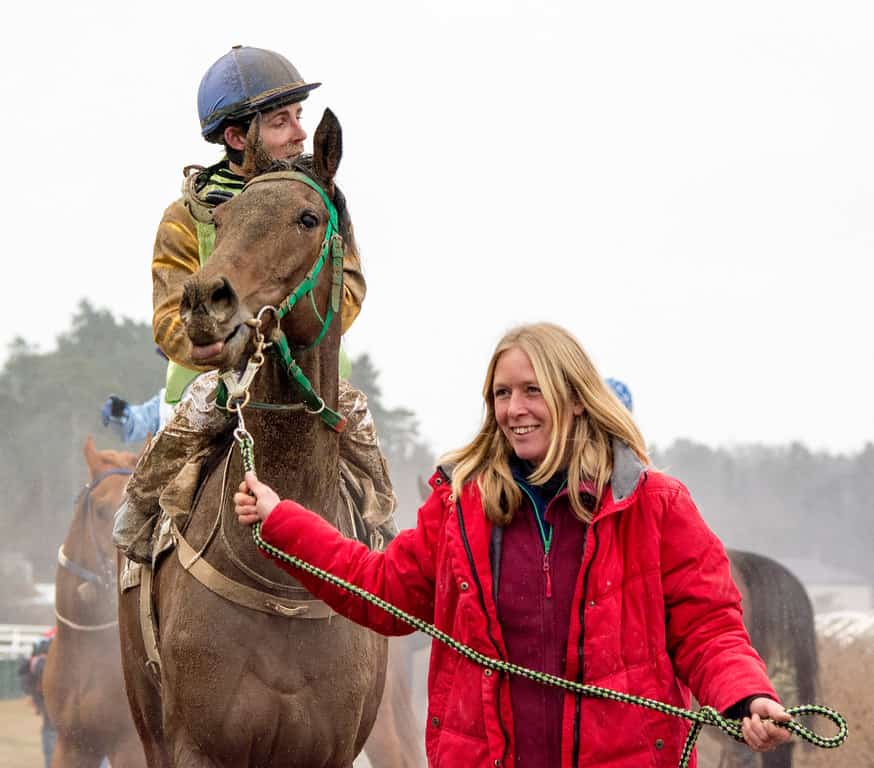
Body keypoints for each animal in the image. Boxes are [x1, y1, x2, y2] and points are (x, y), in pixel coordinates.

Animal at [118, 109, 388, 768]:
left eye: (308, 218)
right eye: (224, 219)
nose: (202, 299)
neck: (281, 578)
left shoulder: (331, 749)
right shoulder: (196, 746)